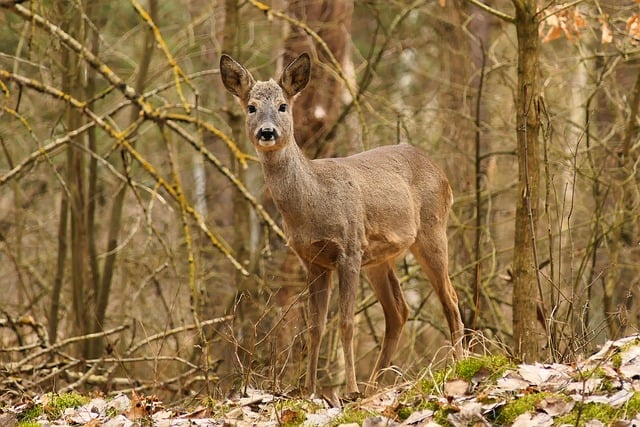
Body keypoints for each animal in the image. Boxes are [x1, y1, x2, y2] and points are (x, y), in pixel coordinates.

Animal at [220, 53, 464, 398]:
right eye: (251, 107)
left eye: (283, 106)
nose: (267, 132)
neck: (314, 202)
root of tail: (442, 175)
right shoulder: (313, 260)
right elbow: (314, 327)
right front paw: (309, 389)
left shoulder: (348, 248)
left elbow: (346, 323)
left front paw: (348, 388)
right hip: (379, 257)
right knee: (398, 311)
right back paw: (375, 383)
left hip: (431, 230)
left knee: (450, 298)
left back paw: (458, 365)